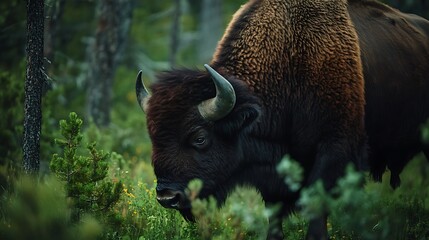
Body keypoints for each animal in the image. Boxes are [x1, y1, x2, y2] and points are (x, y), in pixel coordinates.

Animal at [135, 0, 428, 239]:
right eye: (152, 134)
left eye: (199, 137)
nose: (167, 196)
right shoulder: (274, 176)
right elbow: (274, 219)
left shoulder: (335, 151)